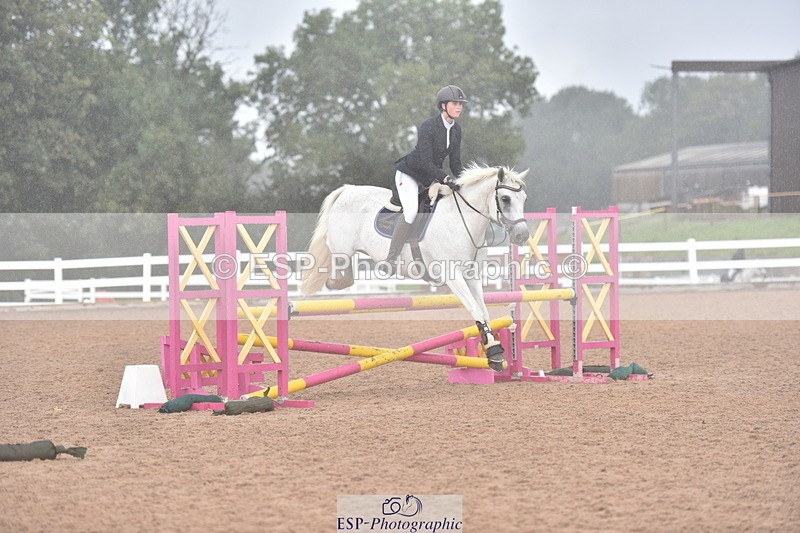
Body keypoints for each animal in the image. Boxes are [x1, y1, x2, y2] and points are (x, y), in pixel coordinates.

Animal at [299, 164, 530, 372]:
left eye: (524, 199)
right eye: (506, 199)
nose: (522, 236)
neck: (462, 221)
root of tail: (348, 189)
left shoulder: (471, 276)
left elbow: (483, 311)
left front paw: (494, 352)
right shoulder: (452, 275)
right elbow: (475, 309)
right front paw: (494, 352)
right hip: (342, 249)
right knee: (337, 265)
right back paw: (335, 281)